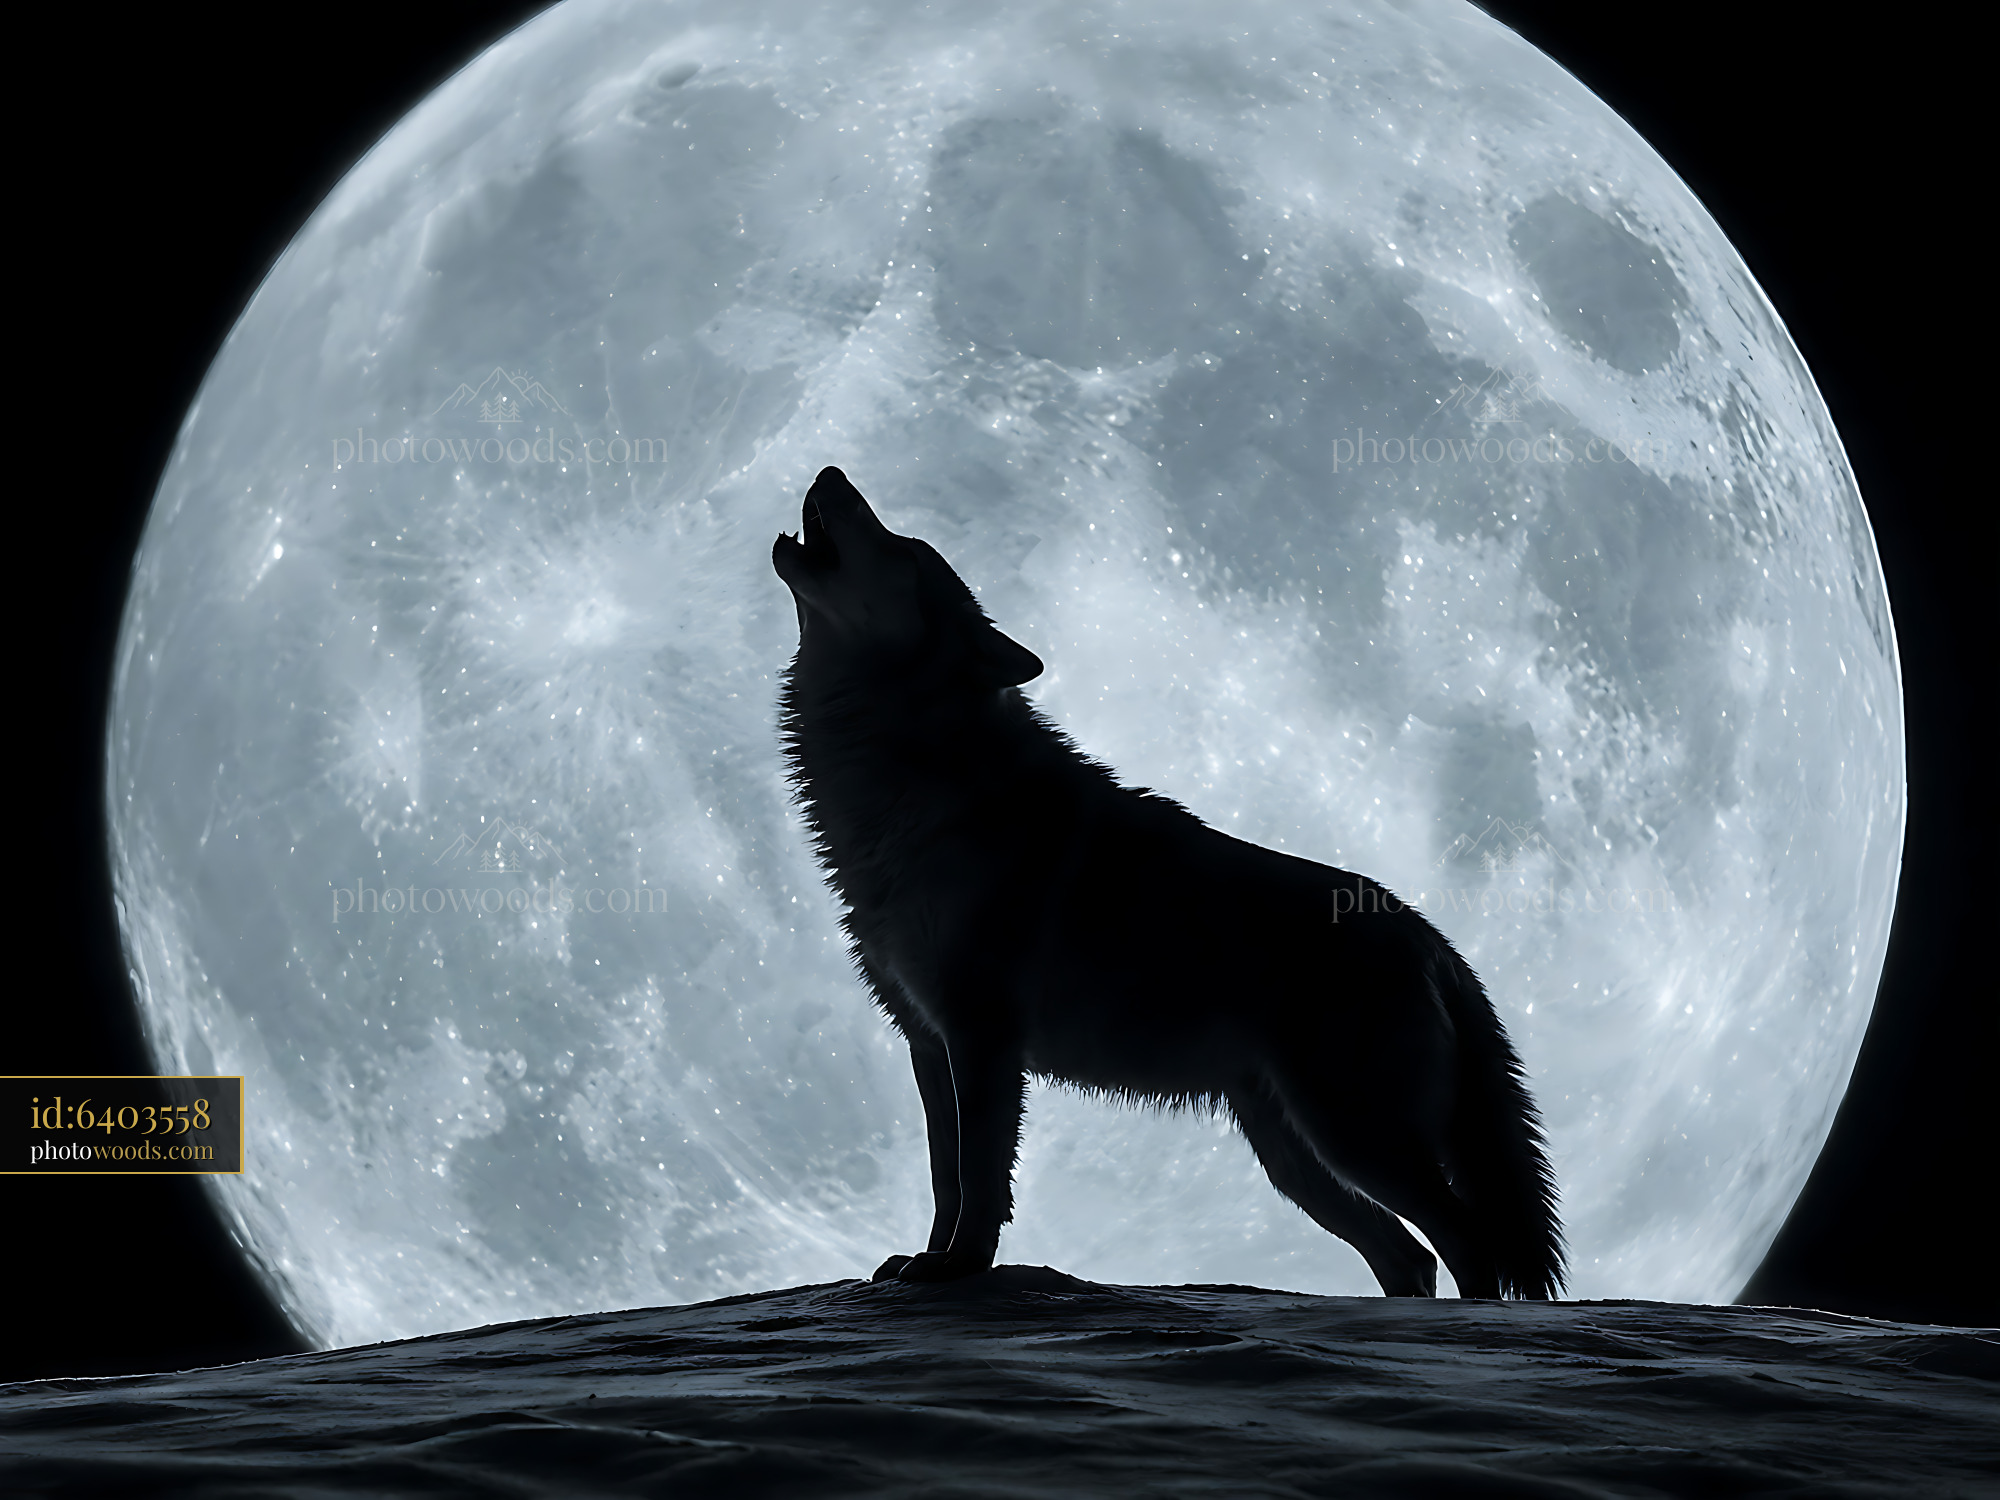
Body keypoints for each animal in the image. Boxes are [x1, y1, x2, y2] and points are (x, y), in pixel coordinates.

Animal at [773, 467, 1566, 1298]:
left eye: (904, 547)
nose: (830, 472)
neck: (909, 774)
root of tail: (1433, 938)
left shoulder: (983, 1041)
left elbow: (982, 1180)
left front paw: (959, 1269)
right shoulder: (928, 1043)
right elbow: (944, 1178)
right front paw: (923, 1263)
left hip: (1354, 1137)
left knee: (1466, 1241)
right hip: (1297, 1157)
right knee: (1409, 1255)